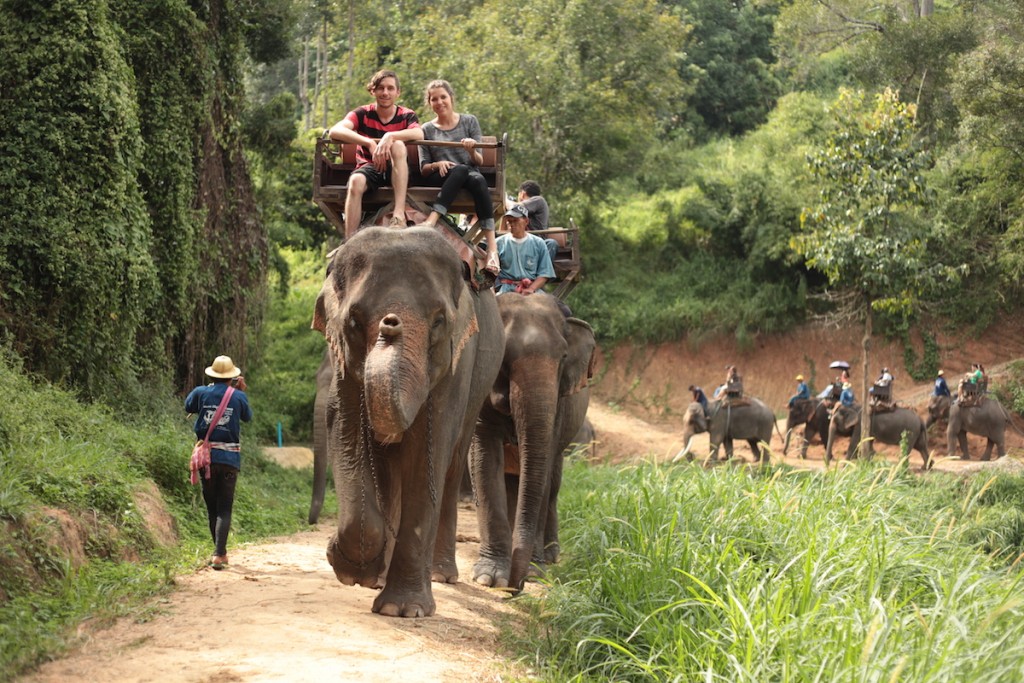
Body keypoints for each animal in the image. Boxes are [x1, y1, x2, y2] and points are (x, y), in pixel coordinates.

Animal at [309, 225, 505, 618]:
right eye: (354, 322)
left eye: (439, 321)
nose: (391, 325)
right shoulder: (342, 363)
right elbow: (348, 431)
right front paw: (352, 568)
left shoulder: (458, 360)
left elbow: (428, 449)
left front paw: (402, 610)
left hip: (481, 380)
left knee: (452, 463)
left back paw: (441, 575)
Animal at [468, 294, 598, 593]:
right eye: (504, 356)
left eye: (563, 357)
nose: (514, 588)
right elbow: (484, 463)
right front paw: (490, 577)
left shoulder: (559, 404)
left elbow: (544, 468)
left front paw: (534, 572)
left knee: (553, 485)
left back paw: (550, 556)